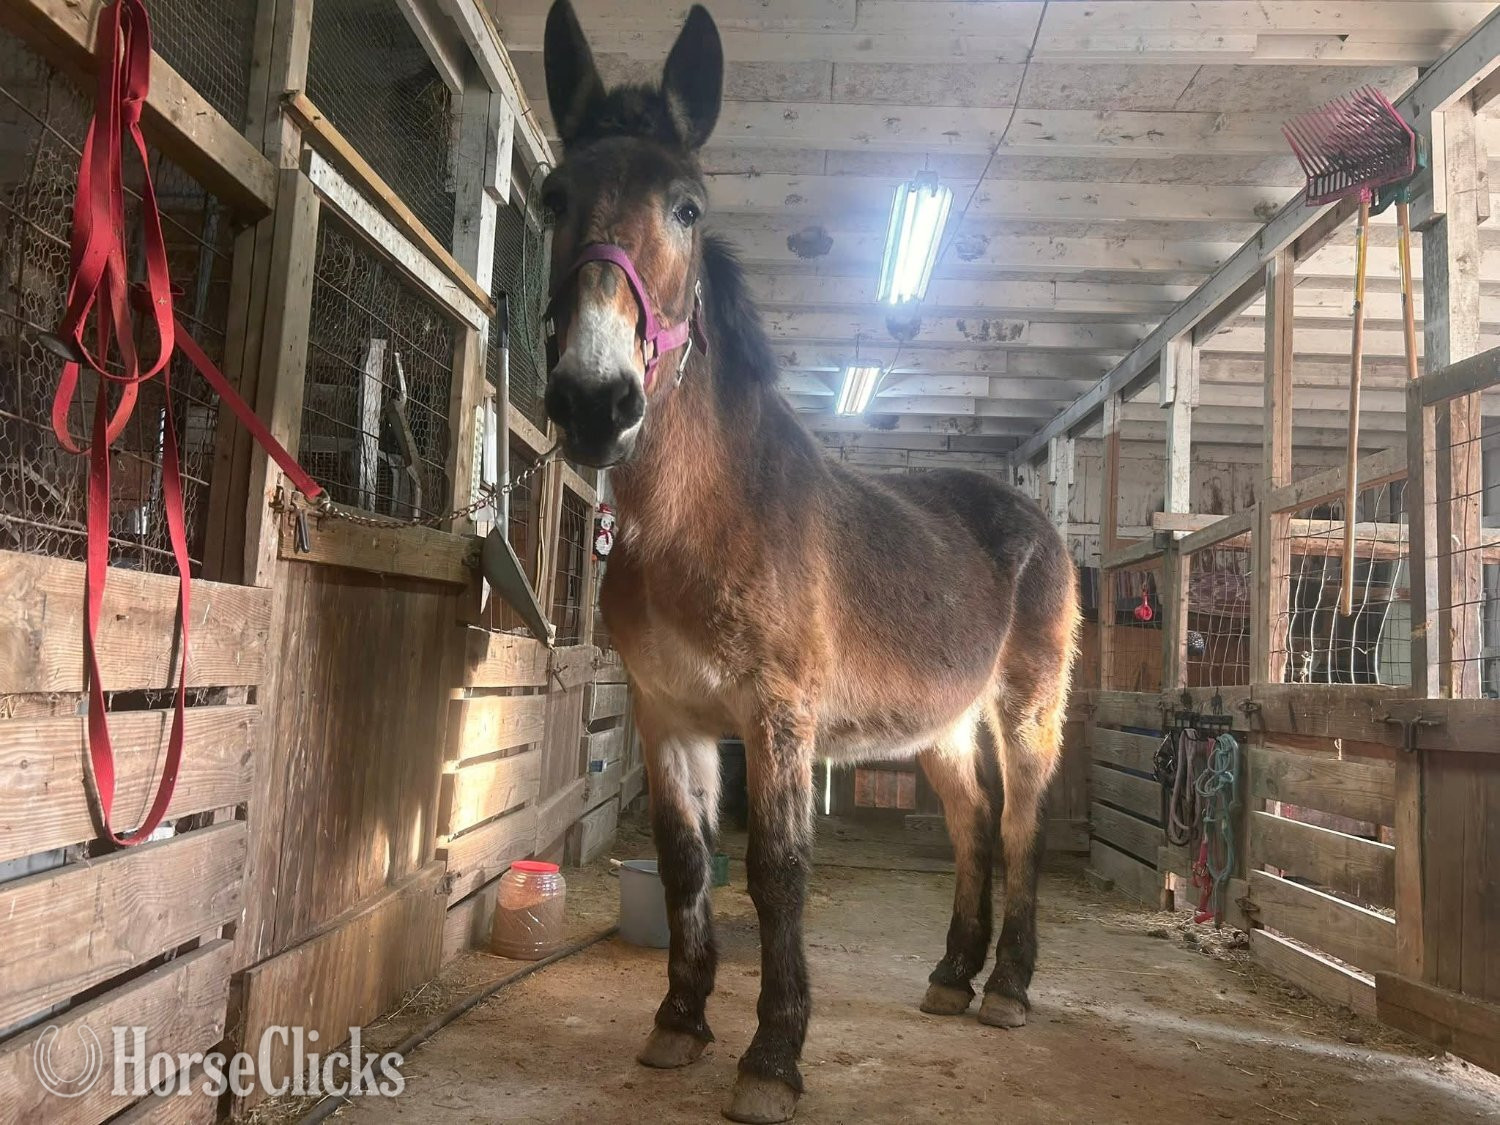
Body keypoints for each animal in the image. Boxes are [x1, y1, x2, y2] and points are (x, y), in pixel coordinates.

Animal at [537, 4, 1079, 1120]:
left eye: (688, 208)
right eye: (552, 197)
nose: (595, 401)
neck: (700, 520)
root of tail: (1032, 520)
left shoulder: (776, 716)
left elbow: (778, 872)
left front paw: (773, 1056)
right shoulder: (669, 715)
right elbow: (687, 862)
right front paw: (679, 1022)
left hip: (1025, 711)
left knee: (1020, 828)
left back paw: (1007, 988)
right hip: (944, 727)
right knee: (972, 826)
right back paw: (953, 975)